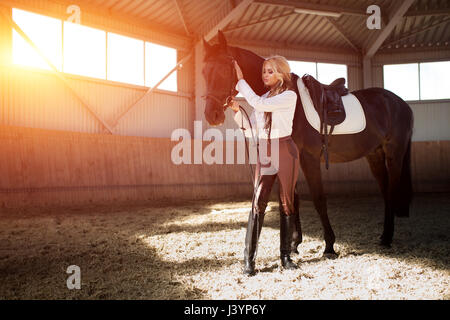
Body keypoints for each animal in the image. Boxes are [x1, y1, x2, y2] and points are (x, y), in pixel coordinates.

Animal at [202, 31, 414, 254]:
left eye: (224, 69)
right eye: (203, 72)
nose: (212, 115)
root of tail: (400, 103)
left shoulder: (309, 159)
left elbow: (318, 198)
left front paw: (329, 245)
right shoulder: (290, 159)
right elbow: (292, 199)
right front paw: (295, 243)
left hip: (394, 155)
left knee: (391, 189)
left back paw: (388, 237)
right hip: (374, 155)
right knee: (385, 191)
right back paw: (384, 236)